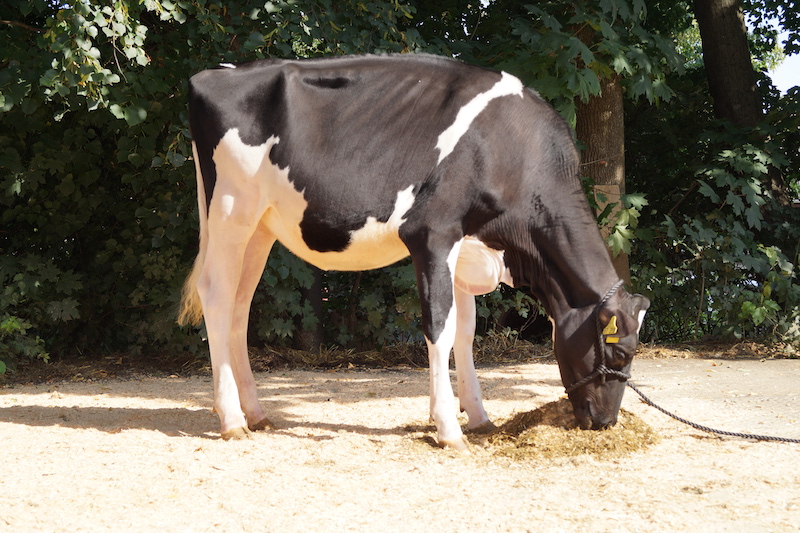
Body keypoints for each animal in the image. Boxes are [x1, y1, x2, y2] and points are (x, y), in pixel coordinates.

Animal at [178, 54, 650, 450]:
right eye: (622, 353)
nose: (605, 423)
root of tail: (212, 73)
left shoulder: (464, 249)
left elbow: (465, 332)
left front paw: (477, 417)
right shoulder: (433, 234)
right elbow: (439, 327)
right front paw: (449, 429)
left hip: (260, 227)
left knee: (239, 305)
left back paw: (256, 414)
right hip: (231, 210)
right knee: (216, 296)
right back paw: (232, 420)